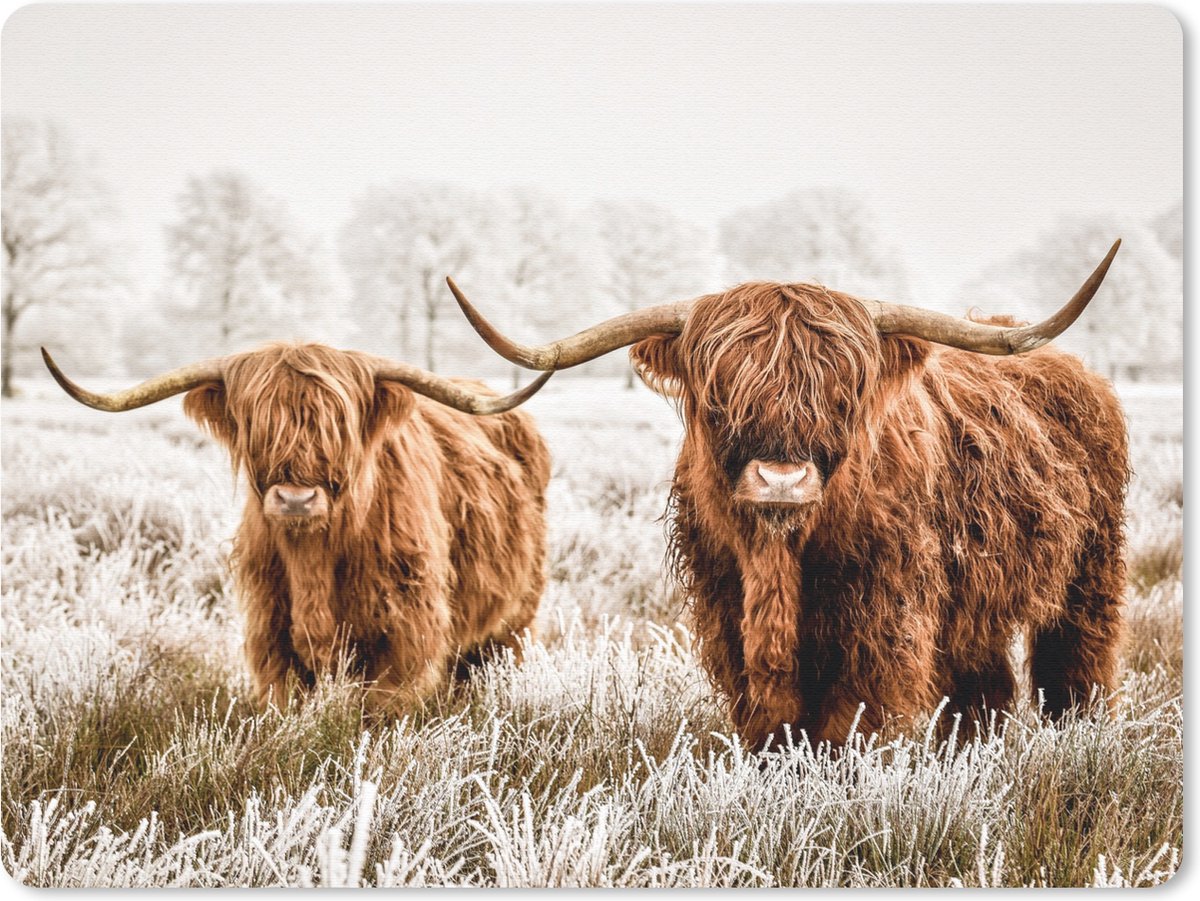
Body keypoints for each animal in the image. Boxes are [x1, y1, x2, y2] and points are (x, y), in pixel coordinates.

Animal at [42, 342, 553, 713]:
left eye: (338, 426)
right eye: (257, 426)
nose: (295, 499)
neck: (315, 560)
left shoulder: (406, 635)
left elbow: (383, 711)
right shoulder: (271, 634)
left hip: (514, 620)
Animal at [446, 241, 1128, 750]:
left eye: (842, 394)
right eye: (720, 395)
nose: (781, 480)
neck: (780, 559)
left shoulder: (883, 618)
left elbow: (849, 721)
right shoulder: (727, 608)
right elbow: (769, 719)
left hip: (1090, 573)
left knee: (1075, 665)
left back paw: (1076, 736)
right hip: (977, 604)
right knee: (983, 687)